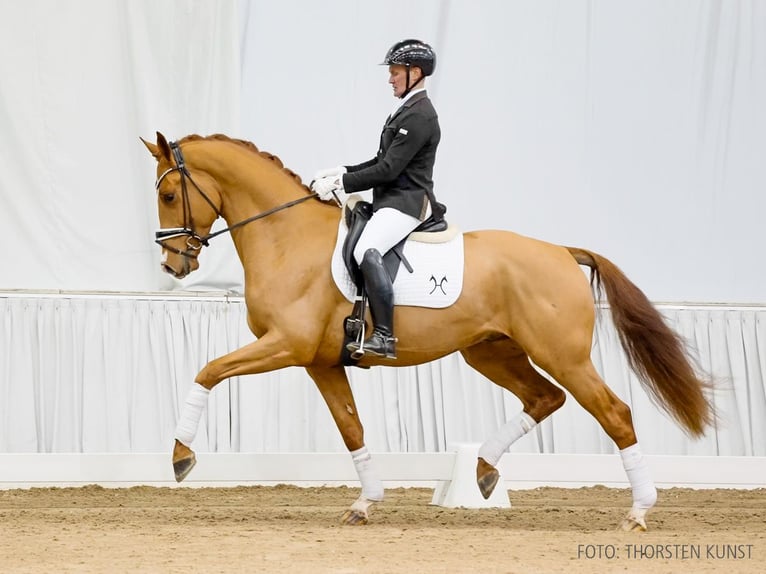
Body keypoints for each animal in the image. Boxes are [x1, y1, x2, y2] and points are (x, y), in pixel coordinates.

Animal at [142, 133, 712, 532]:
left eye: (169, 194)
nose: (173, 264)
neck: (288, 238)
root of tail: (561, 252)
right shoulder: (320, 362)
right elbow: (352, 429)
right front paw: (365, 503)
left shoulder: (286, 345)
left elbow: (208, 370)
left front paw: (180, 457)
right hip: (491, 353)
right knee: (545, 398)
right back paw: (483, 471)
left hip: (562, 355)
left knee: (614, 413)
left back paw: (638, 512)